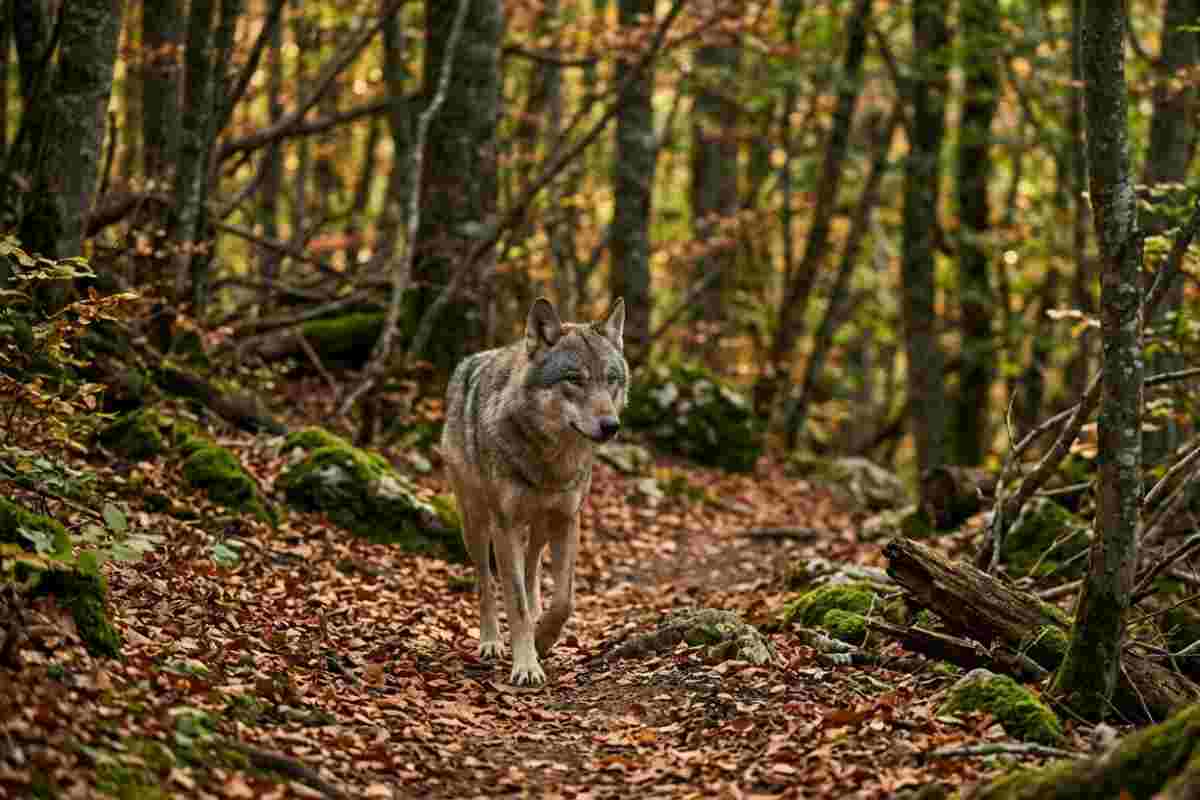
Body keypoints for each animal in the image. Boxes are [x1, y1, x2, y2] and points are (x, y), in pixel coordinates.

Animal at [441, 297, 627, 686]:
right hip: (476, 525)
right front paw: (525, 665)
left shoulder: (567, 520)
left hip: (540, 526)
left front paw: (543, 640)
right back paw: (492, 642)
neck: (549, 460)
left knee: (531, 569)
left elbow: (564, 600)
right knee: (485, 582)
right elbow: (514, 602)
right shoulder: (505, 525)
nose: (611, 426)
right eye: (574, 379)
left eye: (611, 379)